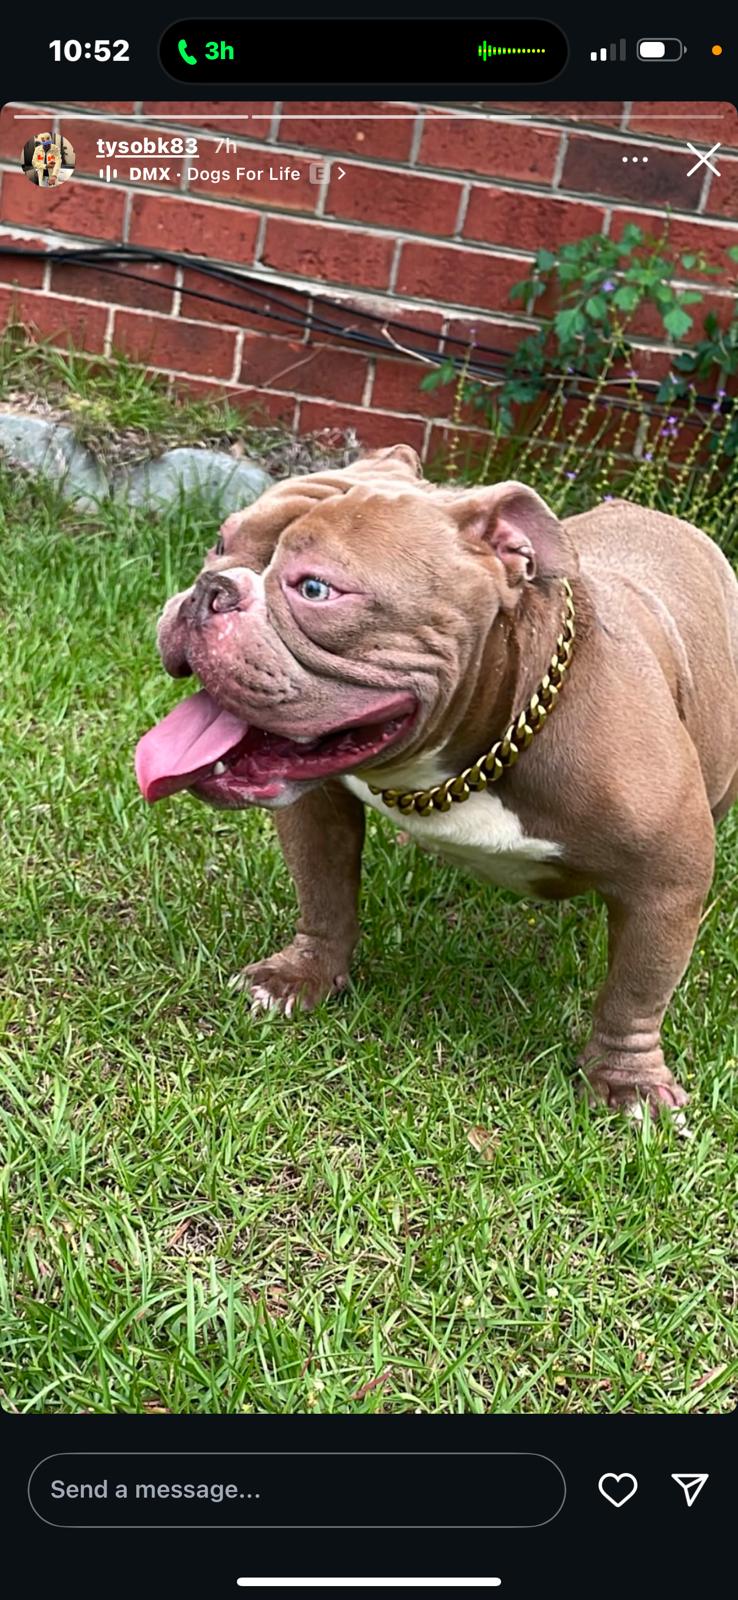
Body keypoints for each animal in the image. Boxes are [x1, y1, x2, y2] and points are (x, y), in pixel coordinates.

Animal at [135, 445, 738, 1116]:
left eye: (316, 589)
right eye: (220, 543)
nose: (208, 589)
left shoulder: (667, 883)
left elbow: (637, 990)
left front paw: (627, 1081)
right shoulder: (316, 808)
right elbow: (323, 893)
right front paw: (301, 975)